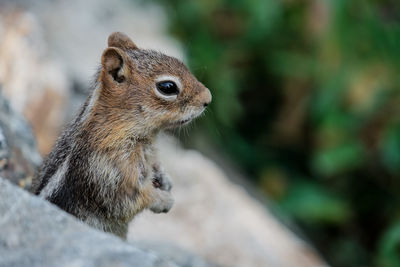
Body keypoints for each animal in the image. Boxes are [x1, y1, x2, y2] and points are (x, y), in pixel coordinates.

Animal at [30, 32, 212, 240]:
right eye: (167, 87)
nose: (208, 98)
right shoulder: (110, 173)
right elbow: (132, 199)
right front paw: (164, 200)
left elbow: (155, 167)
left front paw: (165, 179)